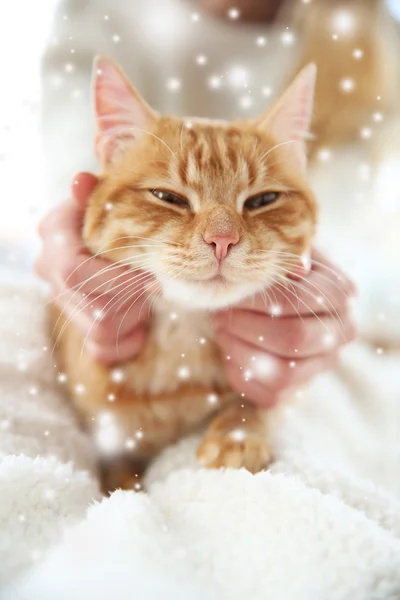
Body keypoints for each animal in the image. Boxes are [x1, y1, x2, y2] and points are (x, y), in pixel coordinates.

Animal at [51, 56, 318, 492]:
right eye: (168, 197)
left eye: (263, 200)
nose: (222, 240)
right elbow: (118, 472)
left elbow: (257, 402)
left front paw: (237, 433)